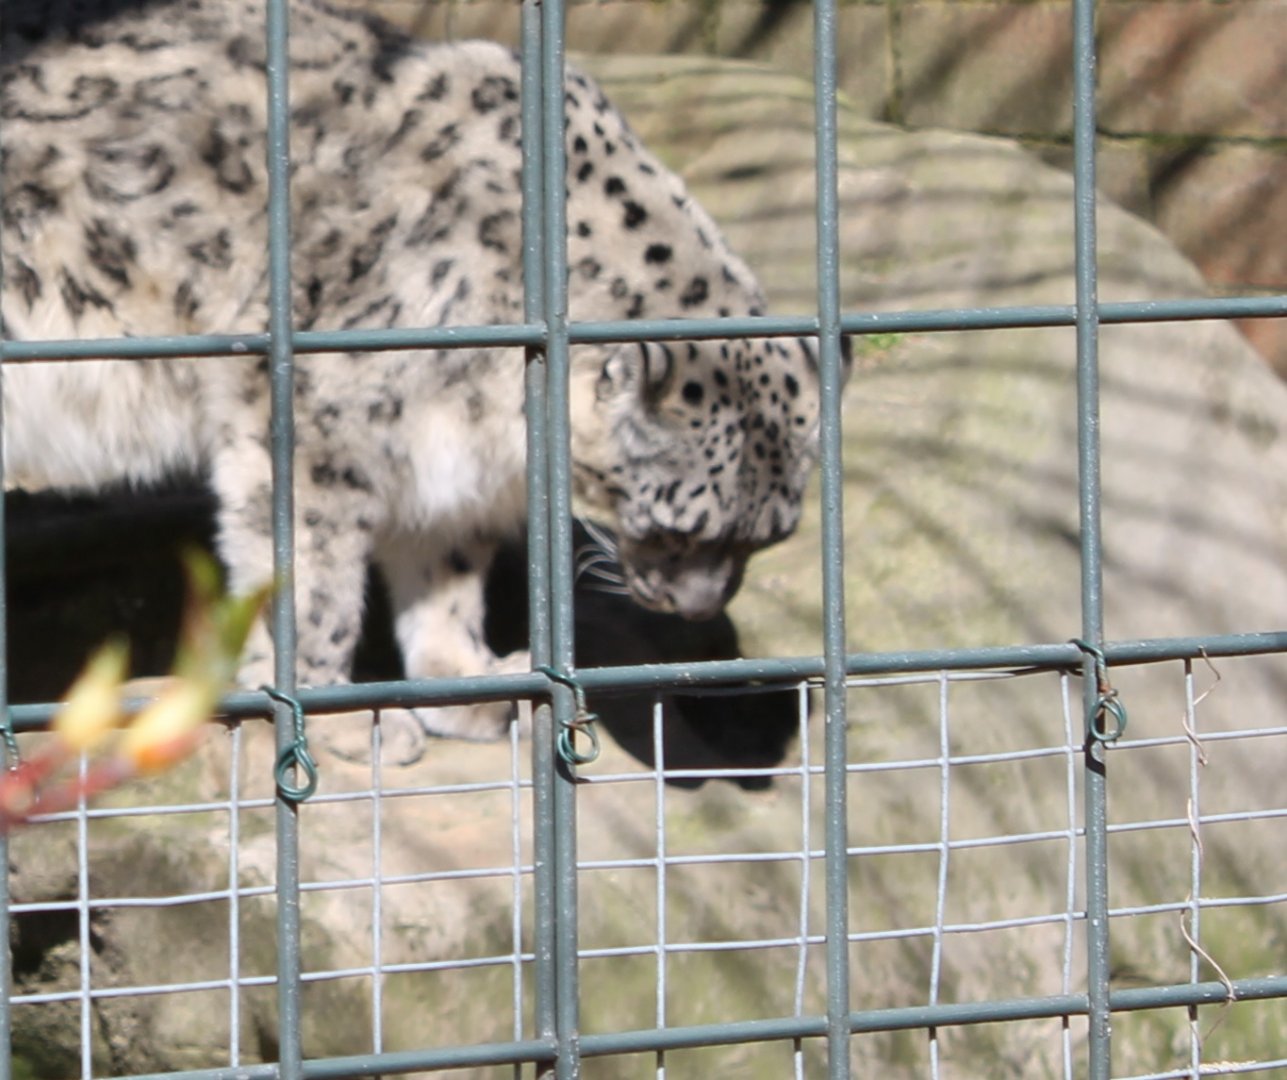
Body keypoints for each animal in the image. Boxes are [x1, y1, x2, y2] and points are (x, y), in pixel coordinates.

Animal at [1, 0, 843, 760]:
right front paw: (333, 712)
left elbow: (446, 574)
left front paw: (465, 681)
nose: (694, 609)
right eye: (673, 529)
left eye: (767, 537)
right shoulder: (315, 431)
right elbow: (315, 582)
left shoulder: (449, 455)